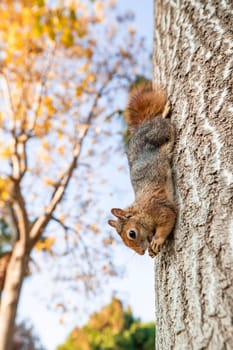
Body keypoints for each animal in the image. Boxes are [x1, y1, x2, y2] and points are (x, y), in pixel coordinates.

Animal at [108, 82, 176, 258]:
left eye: (131, 234)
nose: (140, 253)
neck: (142, 210)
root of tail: (142, 125)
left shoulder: (159, 208)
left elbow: (169, 219)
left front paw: (157, 241)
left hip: (158, 133)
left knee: (163, 123)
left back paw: (165, 112)